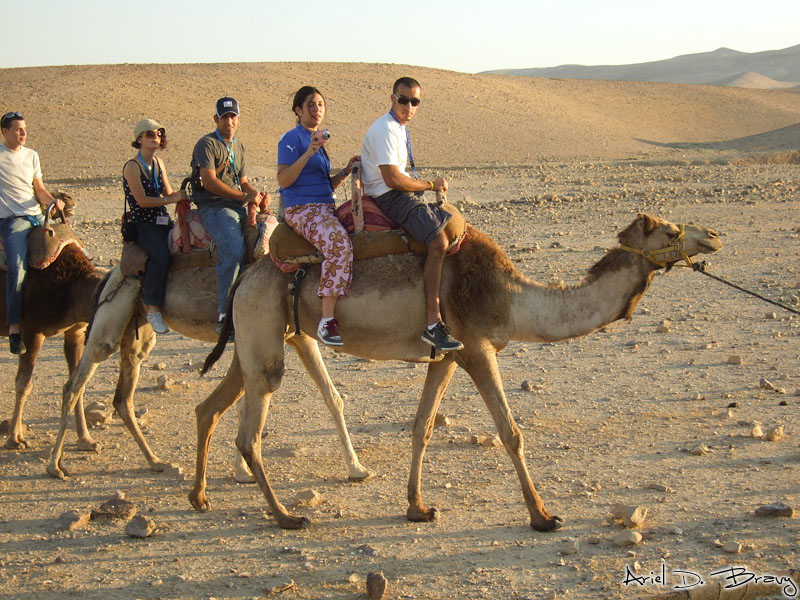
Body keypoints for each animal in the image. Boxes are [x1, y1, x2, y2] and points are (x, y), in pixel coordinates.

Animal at [1, 198, 104, 450]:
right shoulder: (32, 332)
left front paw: (86, 439)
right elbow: (23, 384)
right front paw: (14, 439)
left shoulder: (75, 332)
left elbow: (78, 385)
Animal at [48, 258, 374, 482]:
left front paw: (357, 468)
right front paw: (243, 470)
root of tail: (110, 274)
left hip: (139, 331)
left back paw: (157, 462)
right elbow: (246, 403)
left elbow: (332, 397)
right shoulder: (277, 334)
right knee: (75, 383)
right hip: (111, 320)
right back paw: (55, 465)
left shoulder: (292, 335)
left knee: (122, 397)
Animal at [191, 214, 720, 528]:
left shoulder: (445, 355)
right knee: (250, 431)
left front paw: (417, 507)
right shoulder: (477, 349)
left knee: (210, 406)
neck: (512, 297)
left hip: (258, 336)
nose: (713, 236)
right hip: (265, 334)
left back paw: (199, 498)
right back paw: (285, 516)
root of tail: (247, 275)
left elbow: (422, 427)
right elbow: (511, 432)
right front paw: (543, 515)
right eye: (671, 231)